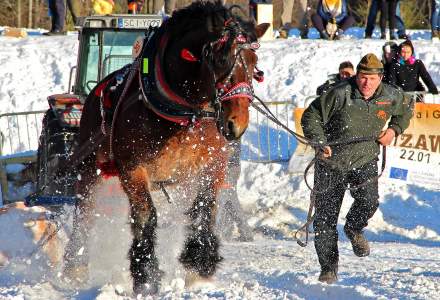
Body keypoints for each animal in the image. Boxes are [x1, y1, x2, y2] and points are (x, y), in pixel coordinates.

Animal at [61, 0, 268, 296]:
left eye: (254, 63)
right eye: (221, 60)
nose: (236, 124)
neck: (184, 114)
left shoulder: (212, 165)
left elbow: (204, 211)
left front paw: (199, 269)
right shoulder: (132, 169)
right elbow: (146, 217)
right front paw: (146, 277)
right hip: (90, 168)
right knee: (85, 214)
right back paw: (75, 265)